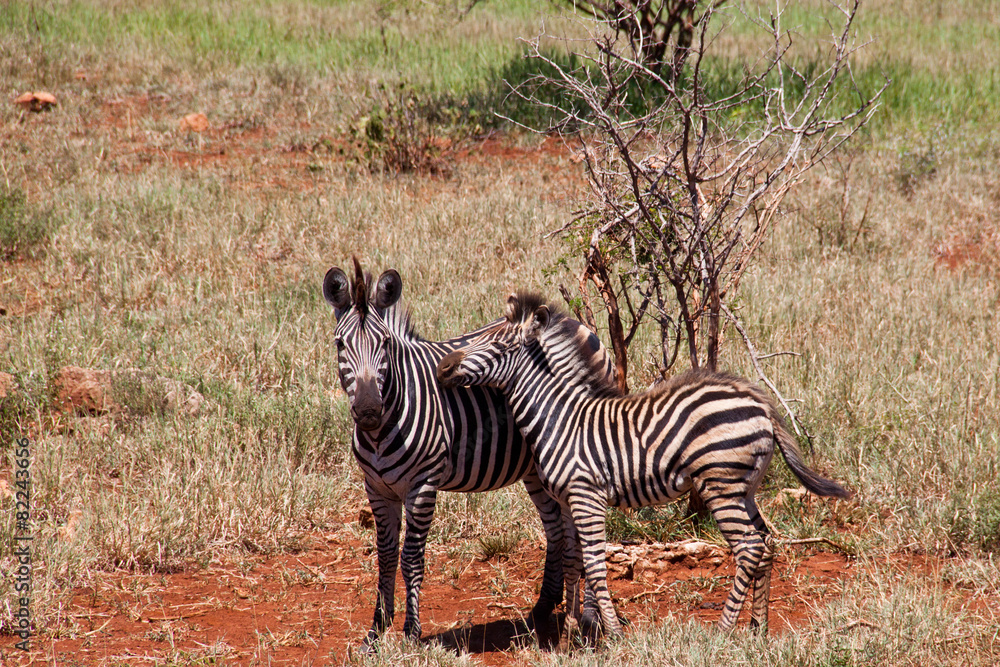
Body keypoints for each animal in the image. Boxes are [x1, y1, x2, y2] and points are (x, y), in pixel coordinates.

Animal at [322, 260, 613, 650]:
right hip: (536, 468)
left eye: (384, 343)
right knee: (556, 530)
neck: (380, 432)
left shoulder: (423, 485)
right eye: (340, 343)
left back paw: (589, 619)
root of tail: (572, 321)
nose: (369, 410)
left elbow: (410, 558)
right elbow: (384, 557)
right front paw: (376, 631)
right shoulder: (377, 489)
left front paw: (411, 632)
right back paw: (542, 610)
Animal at [436, 291, 851, 638]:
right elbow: (572, 559)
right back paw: (757, 627)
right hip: (744, 486)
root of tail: (759, 400)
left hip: (720, 485)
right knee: (765, 542)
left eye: (498, 343)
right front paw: (571, 631)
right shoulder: (568, 499)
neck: (561, 417)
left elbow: (594, 563)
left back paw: (722, 630)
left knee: (749, 547)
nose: (443, 367)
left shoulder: (586, 496)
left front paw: (611, 633)